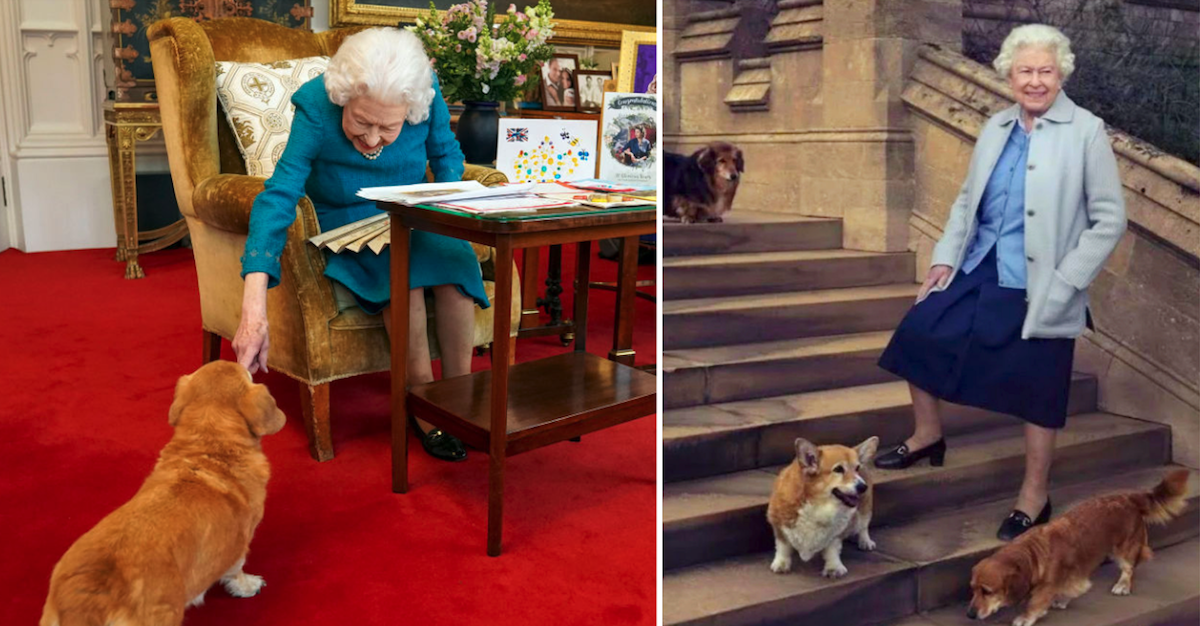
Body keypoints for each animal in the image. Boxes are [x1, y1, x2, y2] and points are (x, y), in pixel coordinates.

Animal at [40, 359, 285, 623]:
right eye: (247, 374)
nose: (247, 361)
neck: (209, 446)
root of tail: (89, 602)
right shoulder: (239, 544)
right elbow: (236, 571)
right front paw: (248, 586)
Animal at [768, 434, 883, 575]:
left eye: (857, 468)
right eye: (838, 469)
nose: (863, 487)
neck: (819, 504)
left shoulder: (836, 534)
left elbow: (832, 549)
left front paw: (834, 567)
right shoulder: (779, 525)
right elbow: (783, 546)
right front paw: (781, 564)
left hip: (865, 509)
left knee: (863, 526)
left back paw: (865, 542)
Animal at [964, 467, 1190, 623]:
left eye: (987, 591)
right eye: (972, 589)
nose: (970, 615)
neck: (1033, 553)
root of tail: (1128, 497)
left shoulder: (1048, 585)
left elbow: (1036, 601)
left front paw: (1025, 617)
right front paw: (1062, 599)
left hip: (1123, 549)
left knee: (1129, 567)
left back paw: (1123, 585)